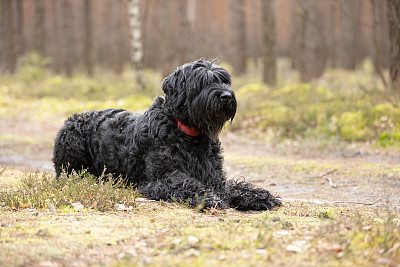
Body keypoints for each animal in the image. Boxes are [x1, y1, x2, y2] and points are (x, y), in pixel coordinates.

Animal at [54, 59, 282, 211]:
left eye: (225, 81)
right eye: (202, 82)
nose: (226, 96)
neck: (187, 133)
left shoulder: (214, 178)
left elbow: (233, 186)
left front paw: (257, 195)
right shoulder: (159, 179)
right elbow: (186, 183)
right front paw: (207, 198)